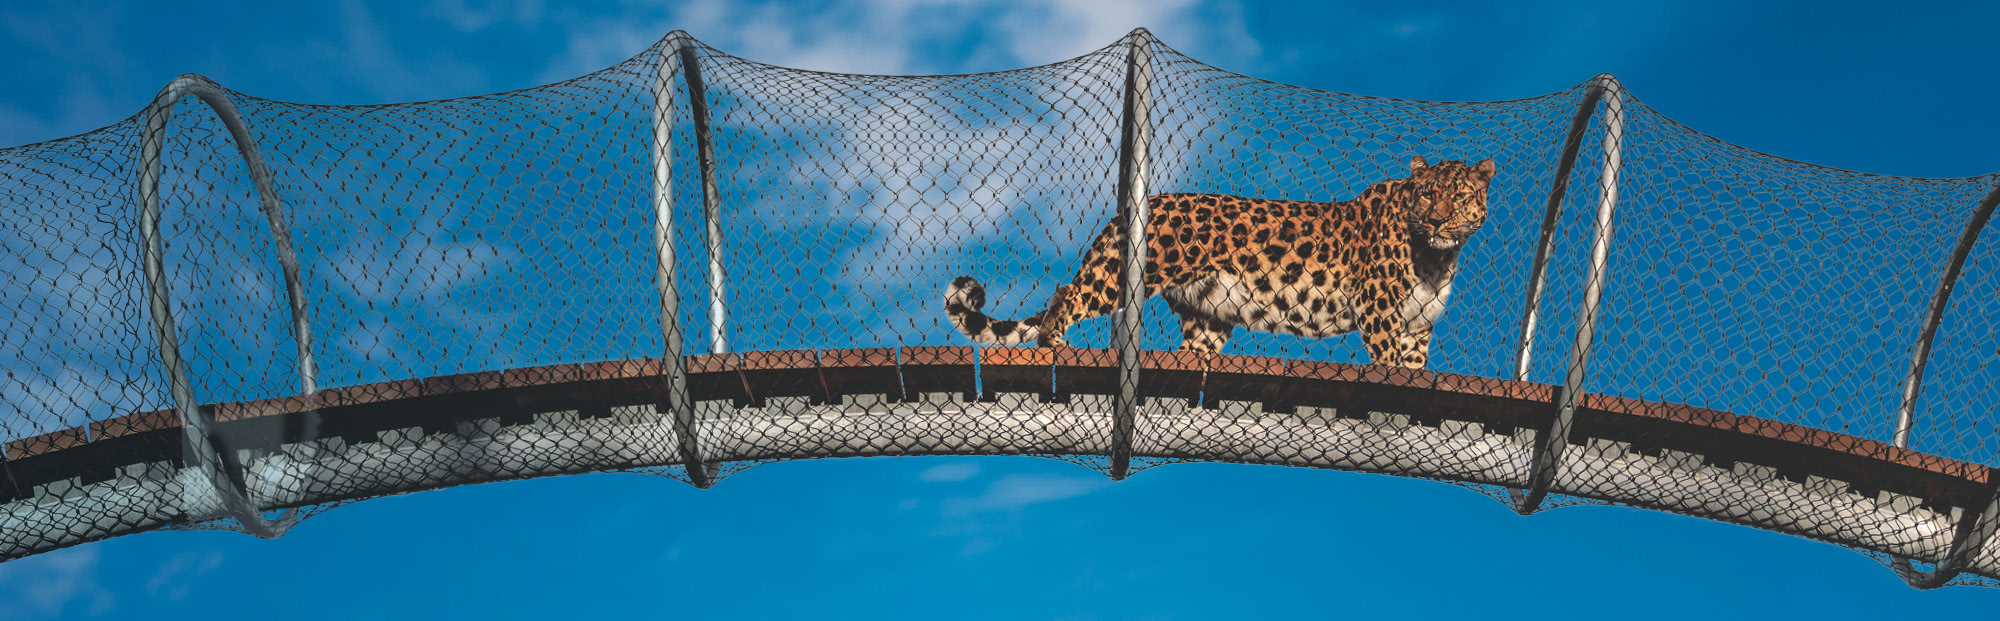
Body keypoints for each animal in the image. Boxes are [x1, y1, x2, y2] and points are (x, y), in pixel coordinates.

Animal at [942, 155, 1494, 369]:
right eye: (1427, 195)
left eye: (1459, 195)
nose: (1439, 220)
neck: (1437, 256)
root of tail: (1134, 207)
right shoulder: (1379, 311)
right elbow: (1387, 364)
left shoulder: (1417, 325)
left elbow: (1414, 367)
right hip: (1119, 276)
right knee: (1066, 294)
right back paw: (1055, 344)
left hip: (1208, 312)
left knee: (1194, 347)